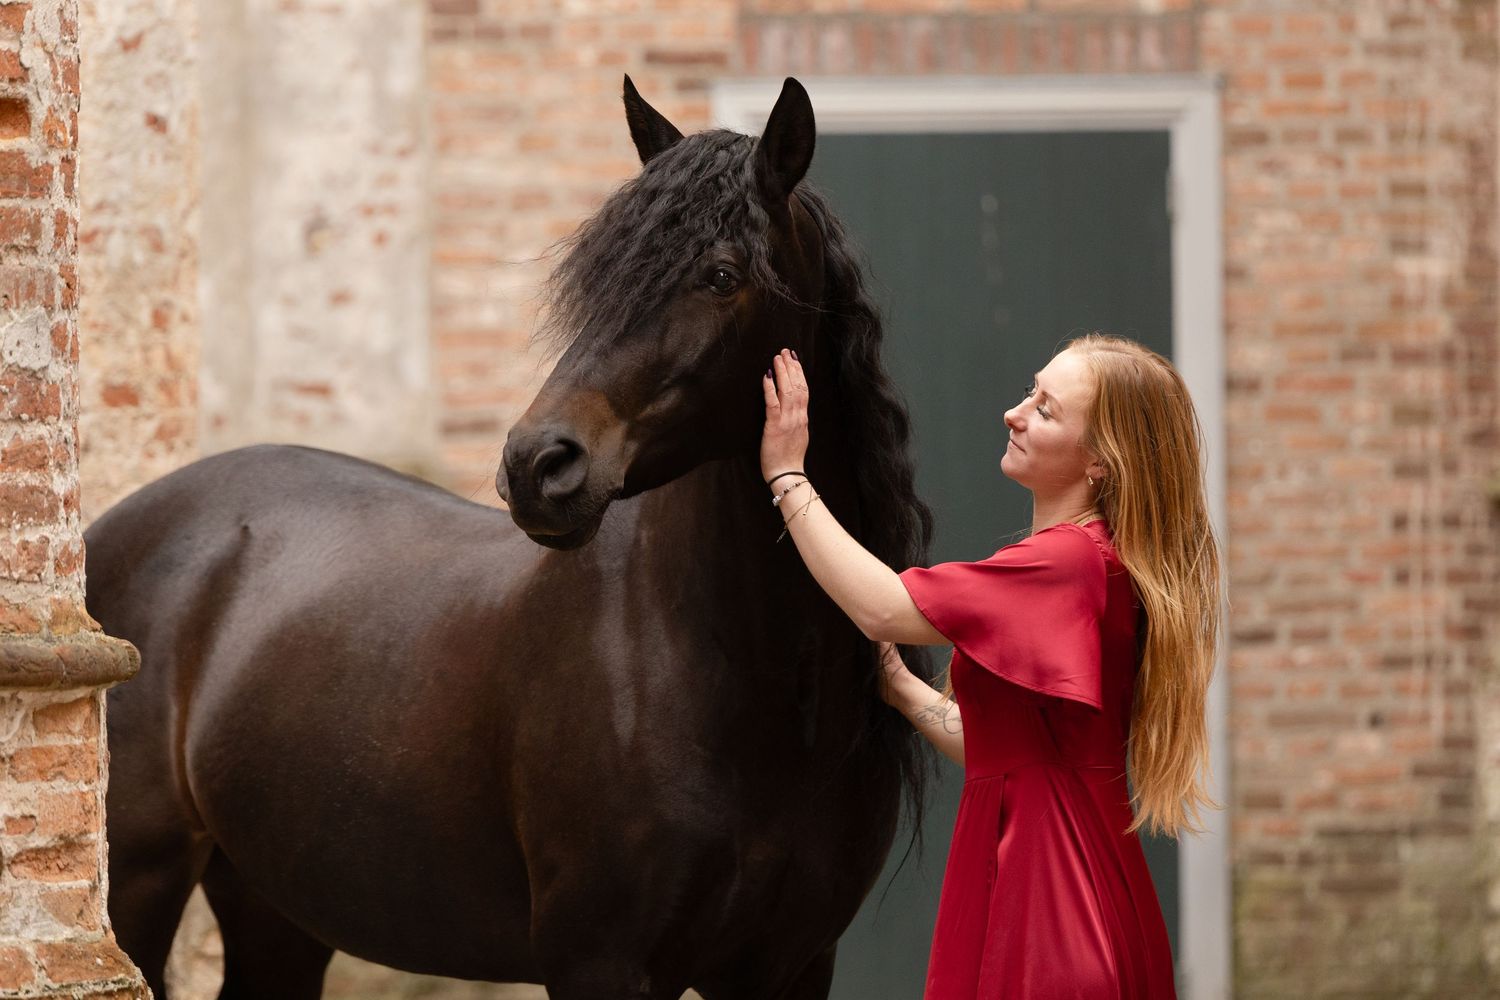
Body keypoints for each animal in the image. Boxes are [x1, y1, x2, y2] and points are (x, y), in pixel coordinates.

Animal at [88, 76, 934, 1000]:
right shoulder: (599, 963)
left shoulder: (791, 967)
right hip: (136, 890)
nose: (538, 466)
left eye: (721, 275)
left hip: (276, 912)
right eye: (594, 278)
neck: (755, 691)